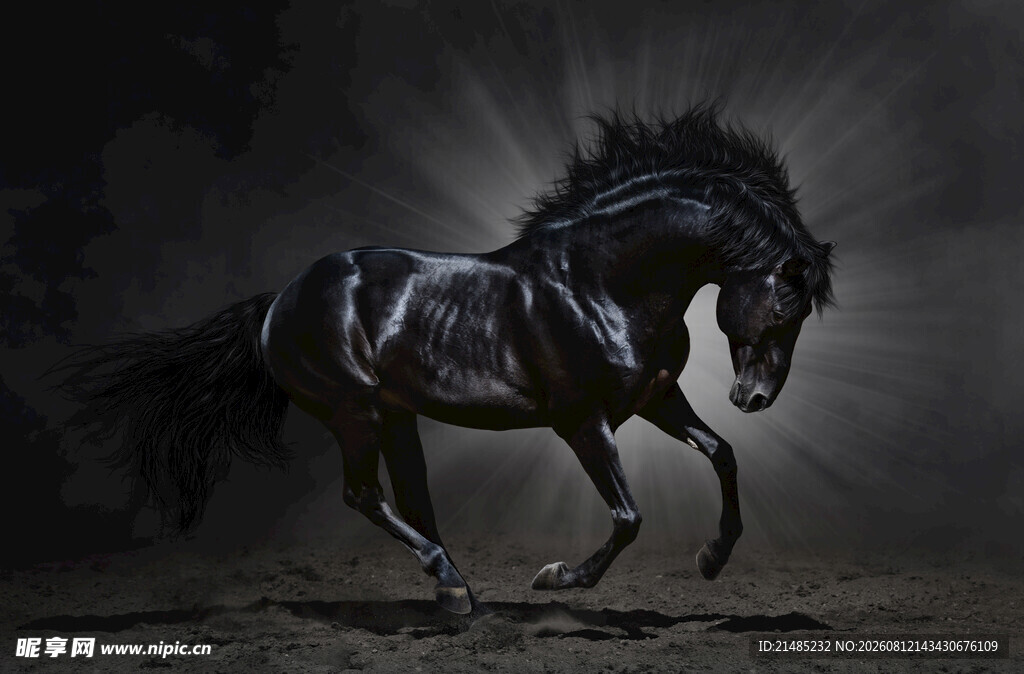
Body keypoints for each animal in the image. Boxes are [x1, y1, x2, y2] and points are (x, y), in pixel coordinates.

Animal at [59, 104, 835, 616]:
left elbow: (722, 454)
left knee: (411, 500)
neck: (599, 283)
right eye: (784, 305)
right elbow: (628, 517)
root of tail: (279, 300)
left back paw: (458, 591)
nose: (754, 398)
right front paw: (555, 578)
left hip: (394, 416)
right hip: (353, 411)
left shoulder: (654, 398)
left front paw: (712, 559)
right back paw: (453, 586)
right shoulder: (583, 422)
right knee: (364, 495)